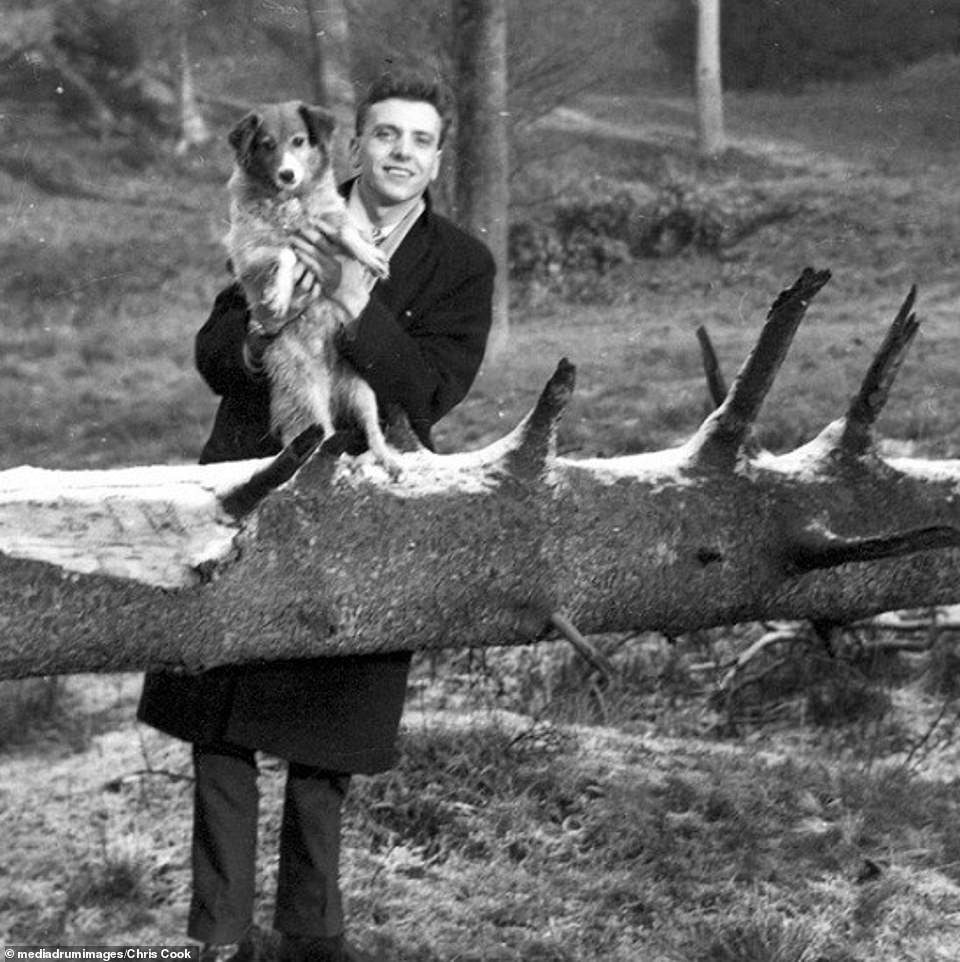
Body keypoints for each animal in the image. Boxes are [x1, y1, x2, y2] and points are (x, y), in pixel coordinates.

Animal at [226, 100, 404, 476]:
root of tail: (331, 386)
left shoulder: (328, 220)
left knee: (372, 431)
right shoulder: (249, 254)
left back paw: (384, 458)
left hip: (363, 390)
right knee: (323, 438)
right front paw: (279, 295)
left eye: (299, 140)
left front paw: (369, 255)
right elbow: (286, 251)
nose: (287, 174)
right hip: (306, 396)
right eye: (266, 145)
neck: (290, 200)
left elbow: (346, 229)